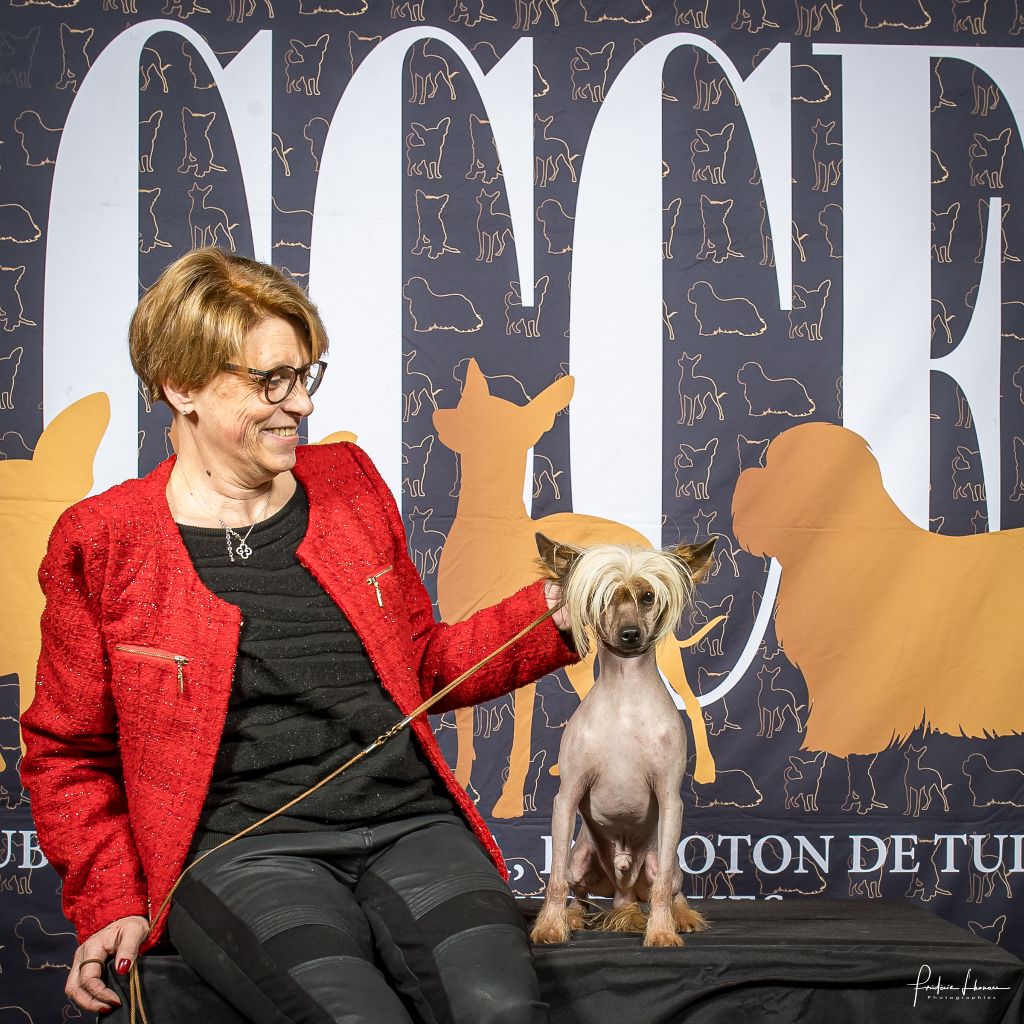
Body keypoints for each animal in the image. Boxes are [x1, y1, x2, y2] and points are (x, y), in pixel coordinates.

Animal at [530, 533, 714, 948]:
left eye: (647, 597)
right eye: (603, 597)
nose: (630, 634)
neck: (626, 698)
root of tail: (623, 892)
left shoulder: (670, 799)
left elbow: (661, 891)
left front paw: (661, 931)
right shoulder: (566, 797)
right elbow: (554, 880)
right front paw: (551, 927)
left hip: (663, 863)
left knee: (671, 887)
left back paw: (681, 918)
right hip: (581, 859)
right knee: (577, 890)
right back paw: (575, 918)